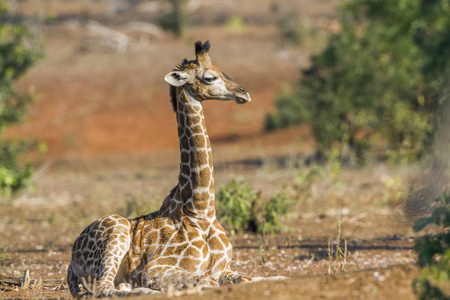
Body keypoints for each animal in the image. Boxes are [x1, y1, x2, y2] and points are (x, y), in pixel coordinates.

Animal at [68, 41, 255, 298]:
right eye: (209, 77)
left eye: (220, 68)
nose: (244, 93)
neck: (202, 210)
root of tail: (71, 257)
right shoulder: (157, 268)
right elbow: (206, 281)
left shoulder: (225, 268)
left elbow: (250, 278)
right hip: (116, 229)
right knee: (104, 288)